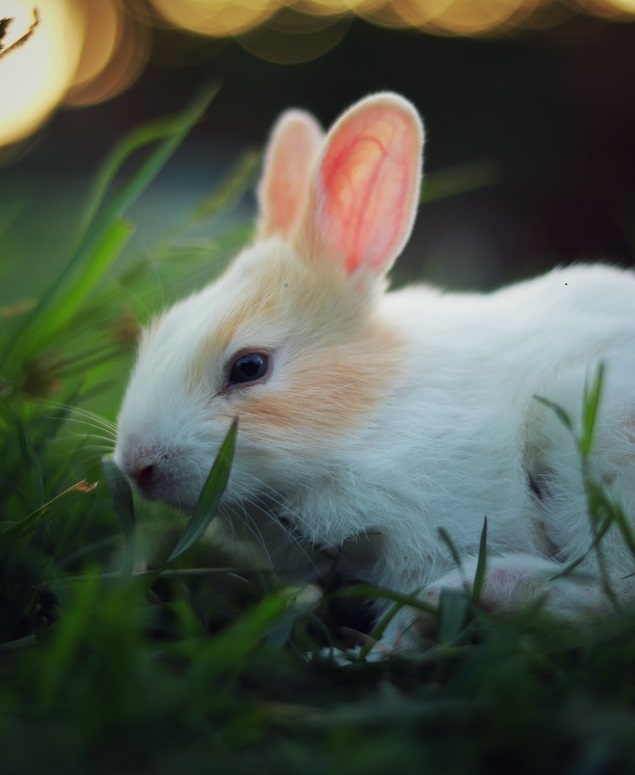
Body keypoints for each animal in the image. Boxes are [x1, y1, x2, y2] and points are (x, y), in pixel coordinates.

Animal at [114, 92, 635, 648]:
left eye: (249, 367)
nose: (138, 466)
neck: (368, 419)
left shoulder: (430, 529)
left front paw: (389, 642)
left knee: (612, 596)